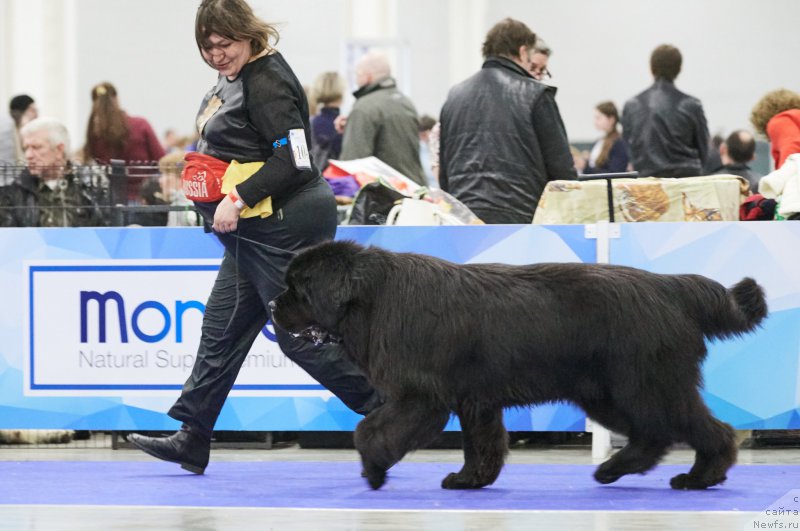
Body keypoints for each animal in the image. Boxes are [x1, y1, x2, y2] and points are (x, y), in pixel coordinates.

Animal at [270, 241, 768, 490]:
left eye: (298, 287)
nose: (273, 305)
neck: (373, 298)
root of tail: (671, 287)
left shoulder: (422, 397)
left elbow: (369, 430)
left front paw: (374, 471)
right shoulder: (475, 401)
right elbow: (482, 445)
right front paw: (470, 481)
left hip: (645, 385)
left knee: (705, 430)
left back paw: (699, 478)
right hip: (608, 392)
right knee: (655, 435)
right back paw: (614, 470)